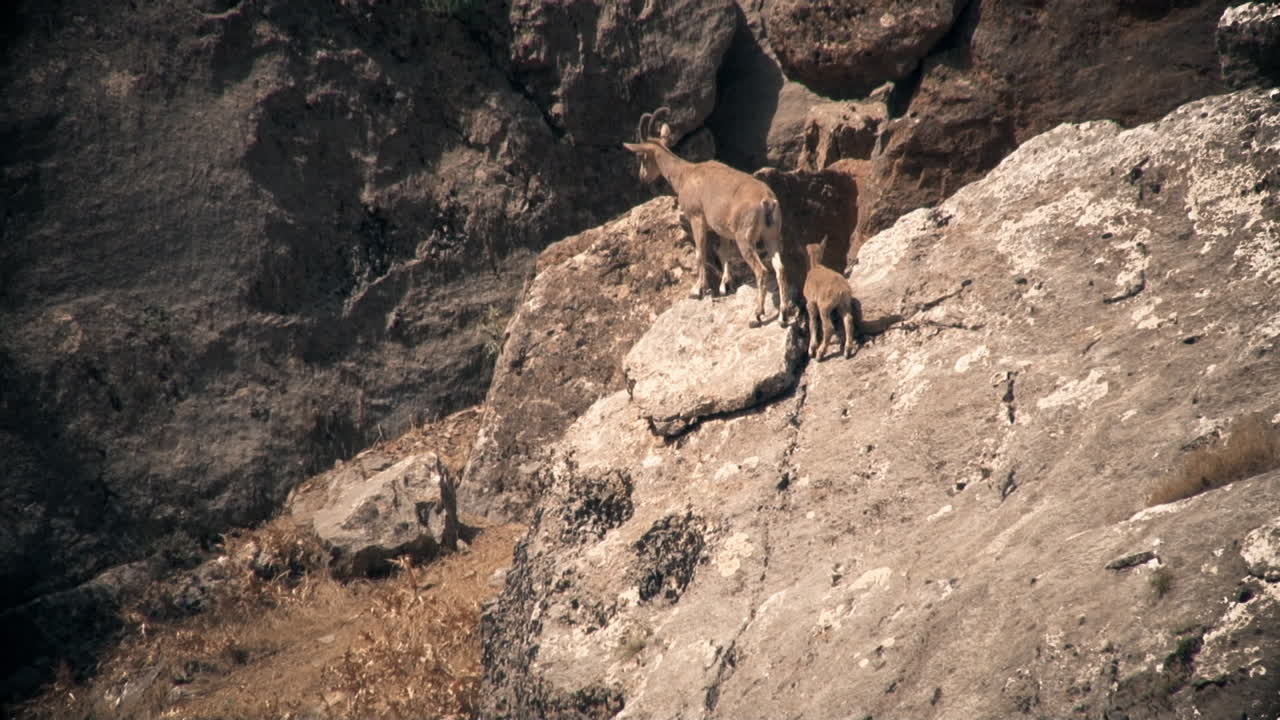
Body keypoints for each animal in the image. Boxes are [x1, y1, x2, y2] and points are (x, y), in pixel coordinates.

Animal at [623, 107, 796, 327]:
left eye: (642, 156)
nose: (642, 177)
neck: (686, 174)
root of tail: (767, 201)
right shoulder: (722, 229)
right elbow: (723, 253)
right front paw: (724, 286)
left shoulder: (697, 218)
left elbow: (700, 253)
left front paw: (698, 290)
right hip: (771, 235)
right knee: (780, 268)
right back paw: (782, 315)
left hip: (745, 238)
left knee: (762, 271)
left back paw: (756, 315)